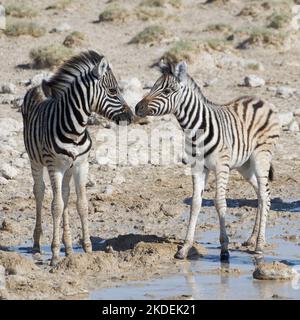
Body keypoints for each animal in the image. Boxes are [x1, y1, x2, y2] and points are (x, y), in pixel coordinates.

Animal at [21, 50, 132, 264]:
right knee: (39, 192)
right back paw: (38, 244)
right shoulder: (55, 166)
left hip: (68, 168)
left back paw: (69, 247)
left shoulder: (81, 164)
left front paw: (87, 249)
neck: (75, 130)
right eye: (113, 91)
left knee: (65, 195)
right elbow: (56, 206)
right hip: (36, 161)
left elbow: (81, 204)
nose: (131, 117)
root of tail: (37, 87)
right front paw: (55, 255)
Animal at [135, 60, 280, 260]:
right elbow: (195, 203)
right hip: (244, 165)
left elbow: (220, 203)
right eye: (153, 87)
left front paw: (225, 249)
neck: (195, 129)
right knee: (259, 193)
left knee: (265, 195)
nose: (137, 108)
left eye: (167, 91)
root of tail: (261, 100)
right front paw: (185, 248)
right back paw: (252, 239)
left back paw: (259, 245)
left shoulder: (221, 166)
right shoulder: (197, 167)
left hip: (261, 157)